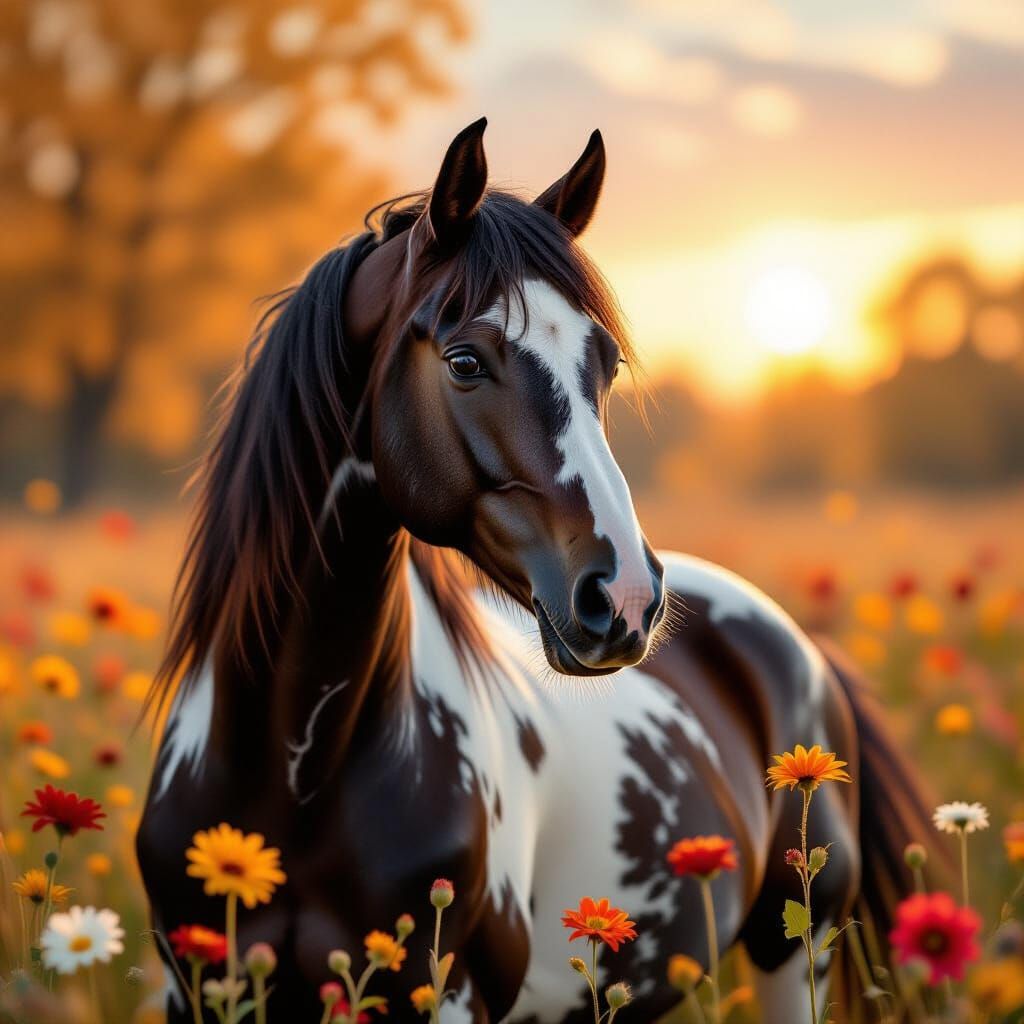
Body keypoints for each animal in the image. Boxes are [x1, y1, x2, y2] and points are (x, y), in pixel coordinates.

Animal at [138, 119, 937, 1023]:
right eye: (463, 361)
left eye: (607, 364)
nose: (625, 599)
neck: (293, 766)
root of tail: (796, 642)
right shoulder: (196, 987)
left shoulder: (445, 994)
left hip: (793, 949)